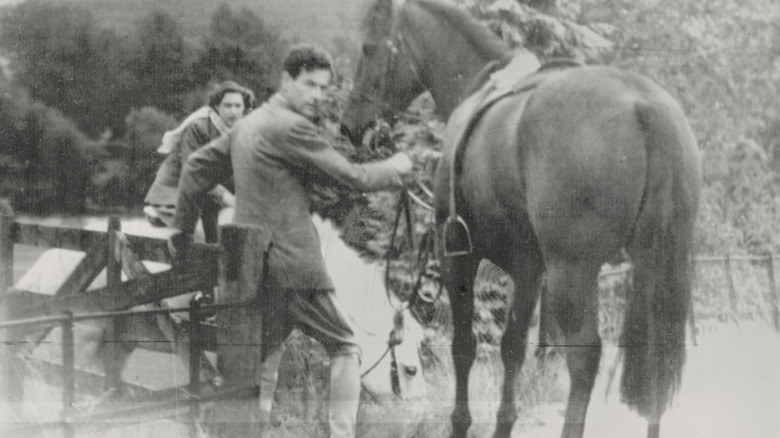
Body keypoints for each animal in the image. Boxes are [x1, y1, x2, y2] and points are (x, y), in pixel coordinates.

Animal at [340, 0, 700, 438]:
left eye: (369, 49)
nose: (350, 126)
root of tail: (643, 104)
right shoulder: (530, 269)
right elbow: (512, 348)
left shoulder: (458, 256)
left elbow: (464, 347)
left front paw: (460, 423)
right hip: (654, 265)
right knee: (654, 356)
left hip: (573, 272)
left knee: (584, 357)